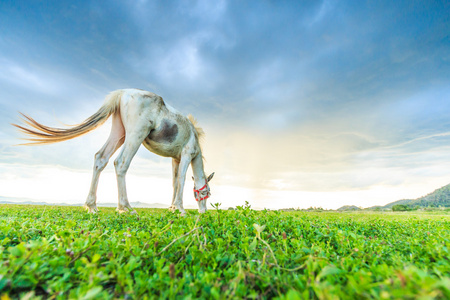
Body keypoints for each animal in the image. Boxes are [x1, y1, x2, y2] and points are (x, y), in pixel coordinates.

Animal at [11, 88, 214, 214]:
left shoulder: (175, 159)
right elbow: (181, 180)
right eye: (207, 192)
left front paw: (172, 208)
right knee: (121, 162)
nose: (204, 212)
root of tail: (123, 93)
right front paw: (180, 209)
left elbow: (173, 182)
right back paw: (125, 207)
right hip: (134, 135)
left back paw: (92, 206)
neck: (195, 137)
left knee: (101, 158)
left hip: (119, 133)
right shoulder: (186, 155)